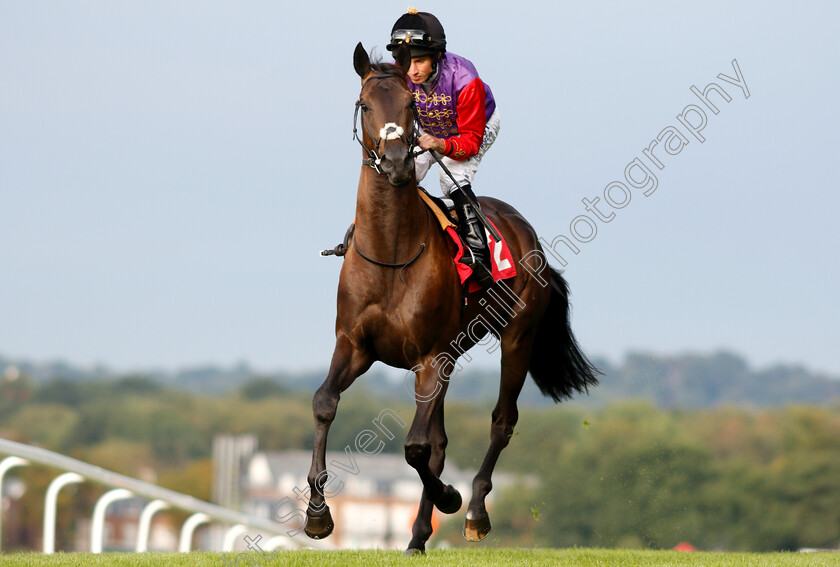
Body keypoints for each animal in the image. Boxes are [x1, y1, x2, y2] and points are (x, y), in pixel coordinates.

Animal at [306, 43, 600, 556]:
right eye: (366, 104)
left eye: (411, 105)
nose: (398, 162)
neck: (391, 254)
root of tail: (530, 236)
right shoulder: (355, 346)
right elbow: (326, 402)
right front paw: (318, 514)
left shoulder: (430, 356)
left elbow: (416, 447)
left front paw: (449, 497)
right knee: (440, 440)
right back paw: (418, 537)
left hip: (516, 339)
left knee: (500, 421)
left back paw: (475, 512)